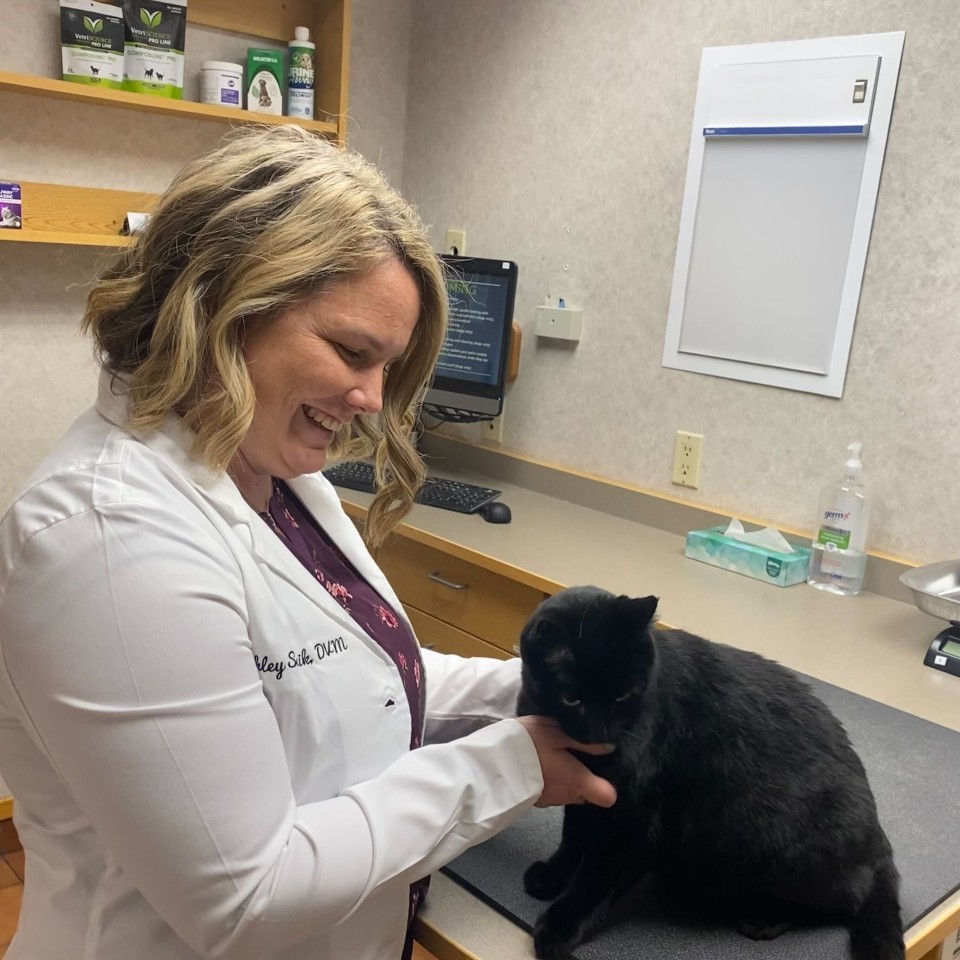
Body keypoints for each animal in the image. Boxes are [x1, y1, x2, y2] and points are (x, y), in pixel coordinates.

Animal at [516, 584, 900, 960]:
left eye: (625, 695)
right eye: (572, 700)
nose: (602, 734)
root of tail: (879, 838)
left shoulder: (635, 820)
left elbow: (597, 876)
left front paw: (561, 925)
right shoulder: (581, 793)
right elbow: (572, 839)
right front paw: (553, 874)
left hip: (779, 852)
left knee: (847, 898)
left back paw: (765, 919)